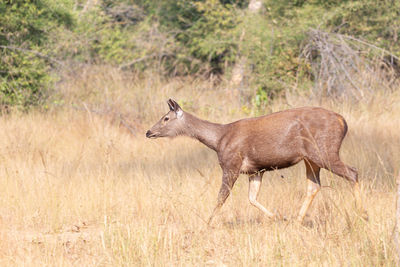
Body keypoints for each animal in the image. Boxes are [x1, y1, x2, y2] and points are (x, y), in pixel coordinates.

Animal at [145, 99, 364, 225]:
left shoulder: (231, 164)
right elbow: (251, 198)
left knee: (353, 172)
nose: (148, 132)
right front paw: (277, 216)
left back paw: (362, 213)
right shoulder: (256, 170)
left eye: (165, 118)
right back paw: (296, 220)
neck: (218, 140)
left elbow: (221, 197)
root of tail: (343, 121)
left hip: (325, 151)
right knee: (314, 185)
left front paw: (207, 222)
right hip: (311, 159)